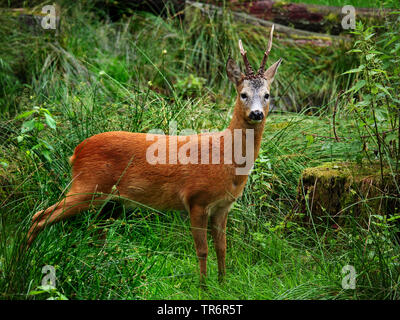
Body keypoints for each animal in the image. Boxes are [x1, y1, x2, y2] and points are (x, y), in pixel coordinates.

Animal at [27, 25, 282, 282]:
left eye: (267, 95)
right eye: (243, 94)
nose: (257, 114)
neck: (226, 158)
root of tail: (76, 152)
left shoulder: (223, 206)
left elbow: (222, 248)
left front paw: (222, 283)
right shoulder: (196, 199)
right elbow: (202, 250)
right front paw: (203, 285)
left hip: (107, 202)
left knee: (93, 231)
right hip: (87, 186)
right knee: (39, 216)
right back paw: (26, 259)